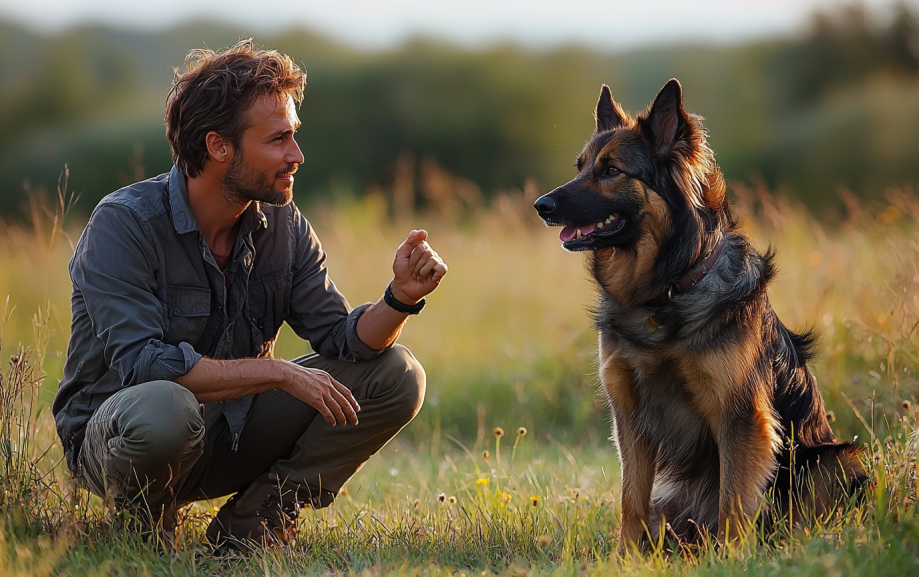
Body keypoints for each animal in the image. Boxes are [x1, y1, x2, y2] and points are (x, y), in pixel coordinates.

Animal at [536, 79, 868, 548]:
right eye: (580, 167)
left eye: (611, 170)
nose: (541, 205)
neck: (664, 292)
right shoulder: (629, 414)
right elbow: (631, 500)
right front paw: (626, 556)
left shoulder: (740, 414)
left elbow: (732, 498)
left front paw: (730, 554)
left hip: (835, 460)